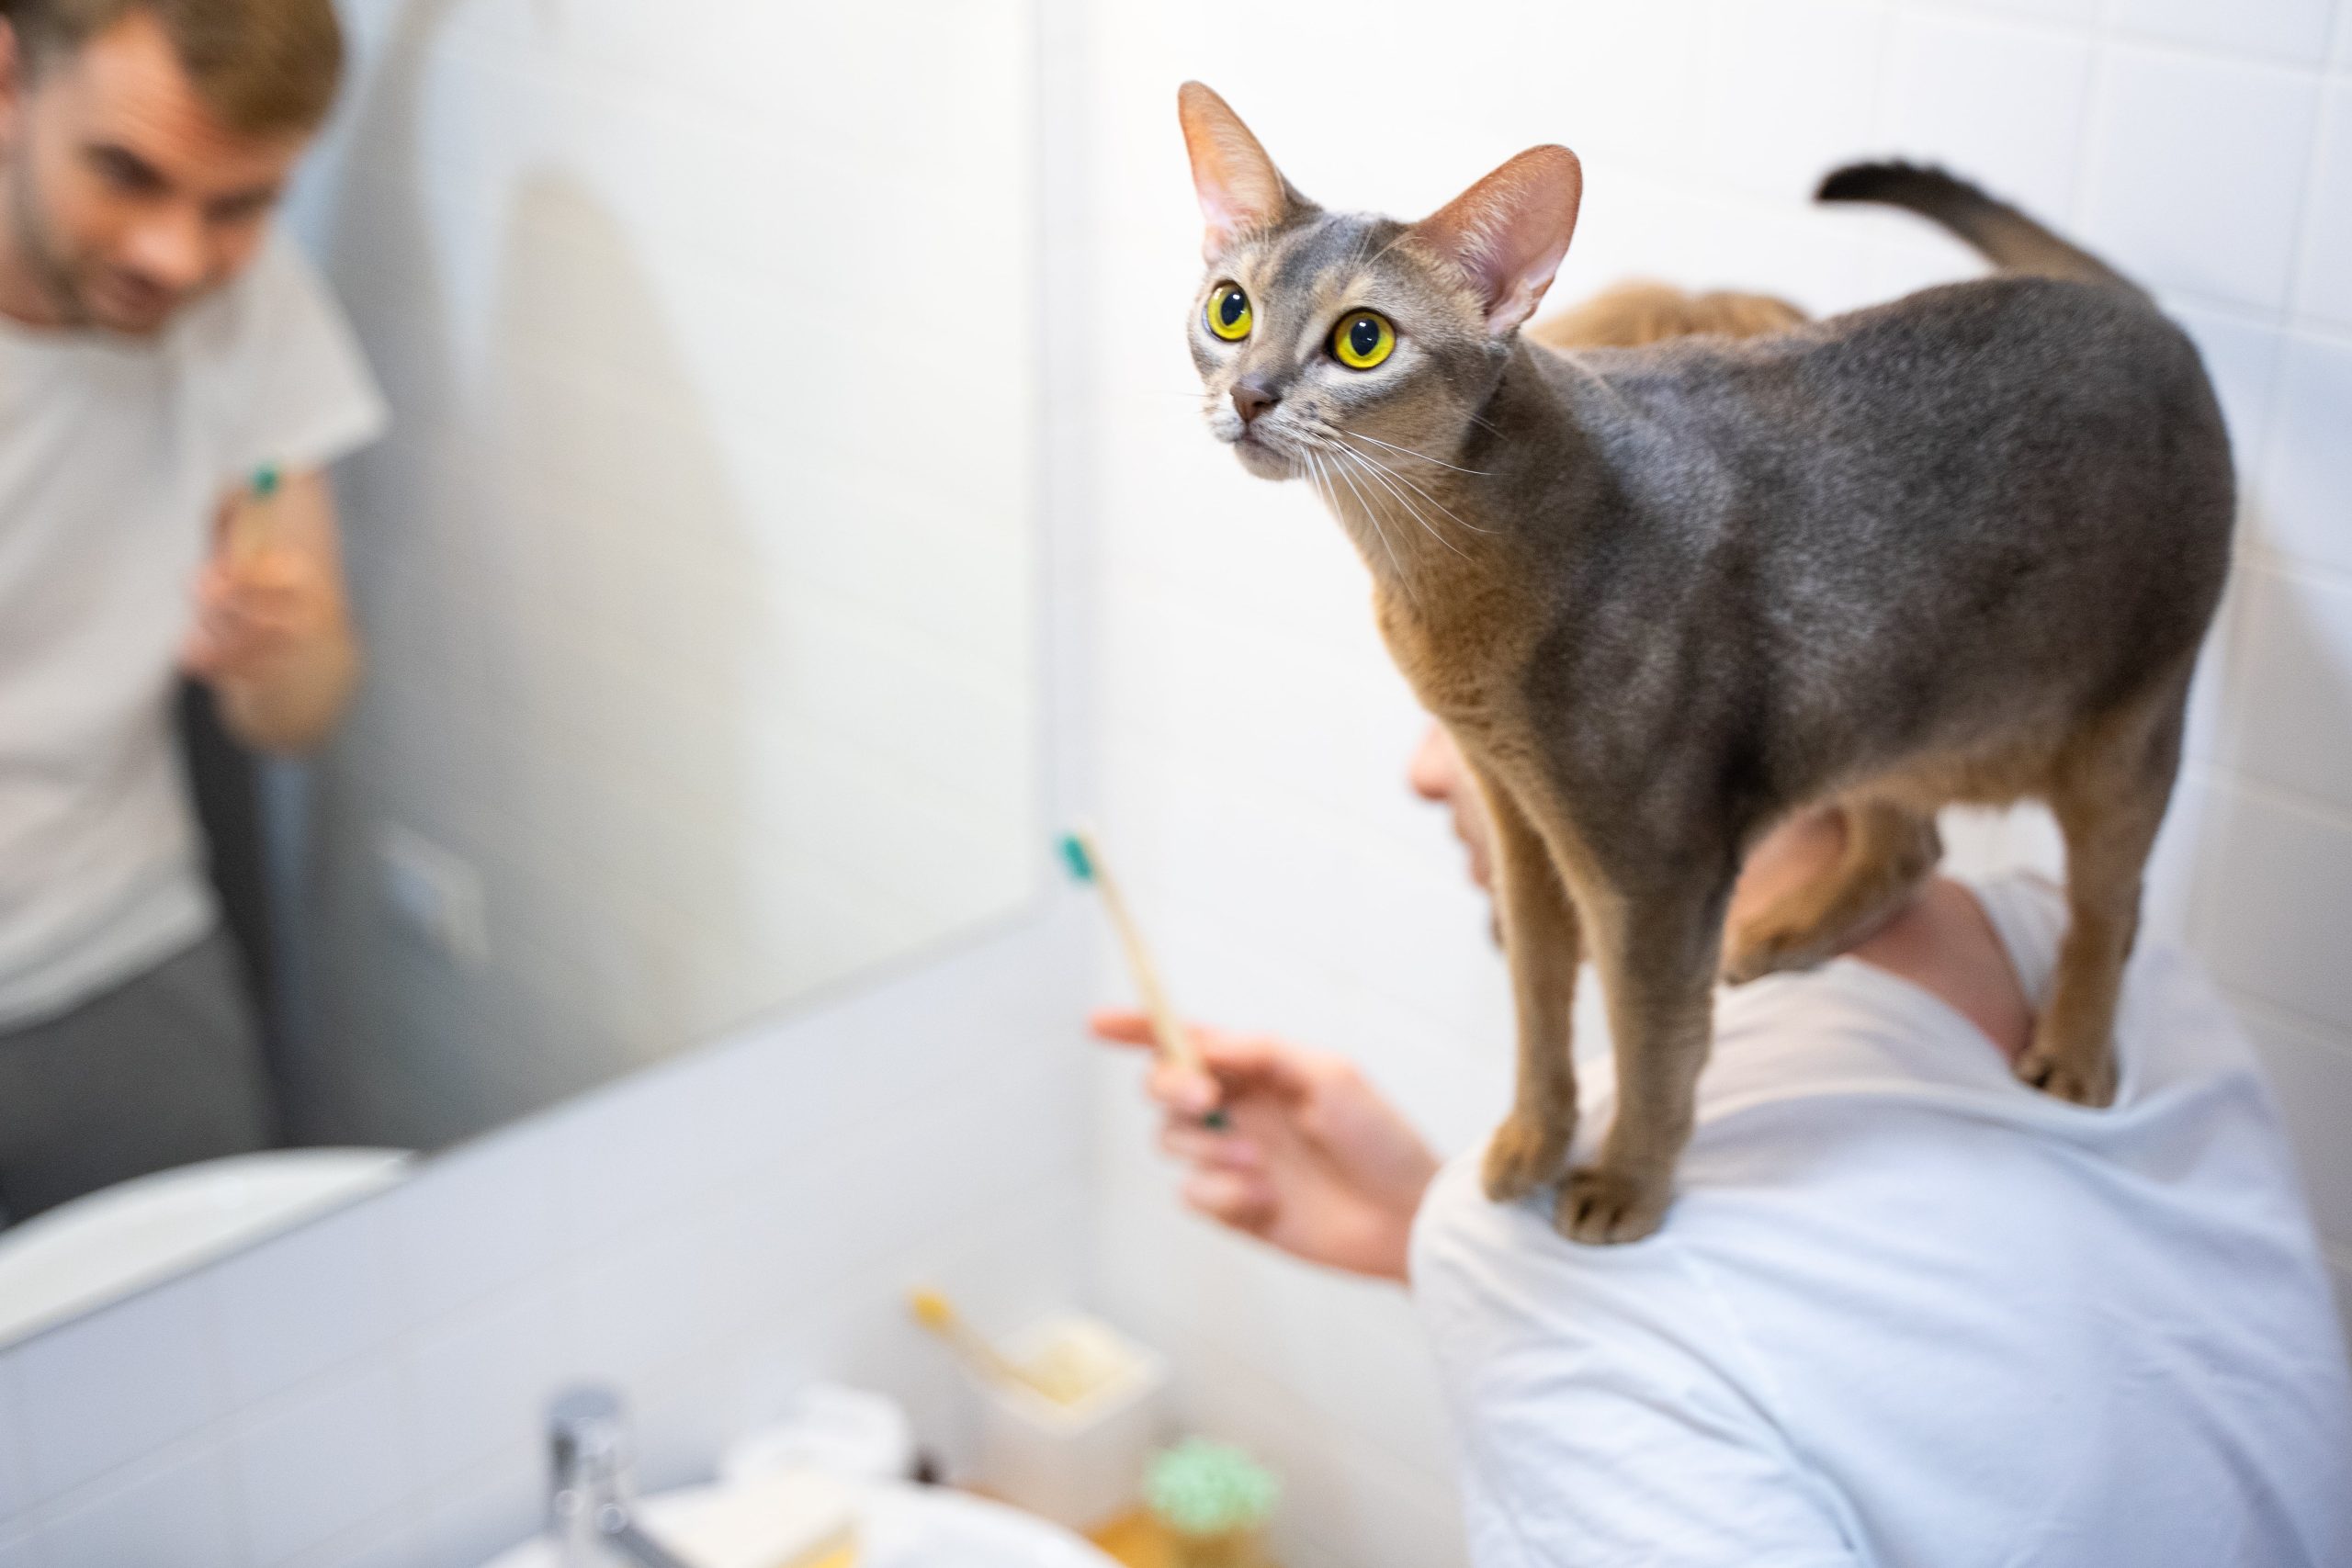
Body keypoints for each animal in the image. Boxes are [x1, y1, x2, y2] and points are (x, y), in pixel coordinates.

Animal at [1185, 83, 2229, 1250]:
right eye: (1229, 310)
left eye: (1362, 339)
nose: (1252, 394)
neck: (1438, 563)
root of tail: (2147, 314)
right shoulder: (1519, 820)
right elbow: (1539, 1003)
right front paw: (1528, 1143)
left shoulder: (1653, 866)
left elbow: (1651, 1037)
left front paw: (1626, 1185)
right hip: (1877, 696)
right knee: (1910, 844)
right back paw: (1791, 929)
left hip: (2127, 725)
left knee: (2112, 905)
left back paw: (2076, 1053)